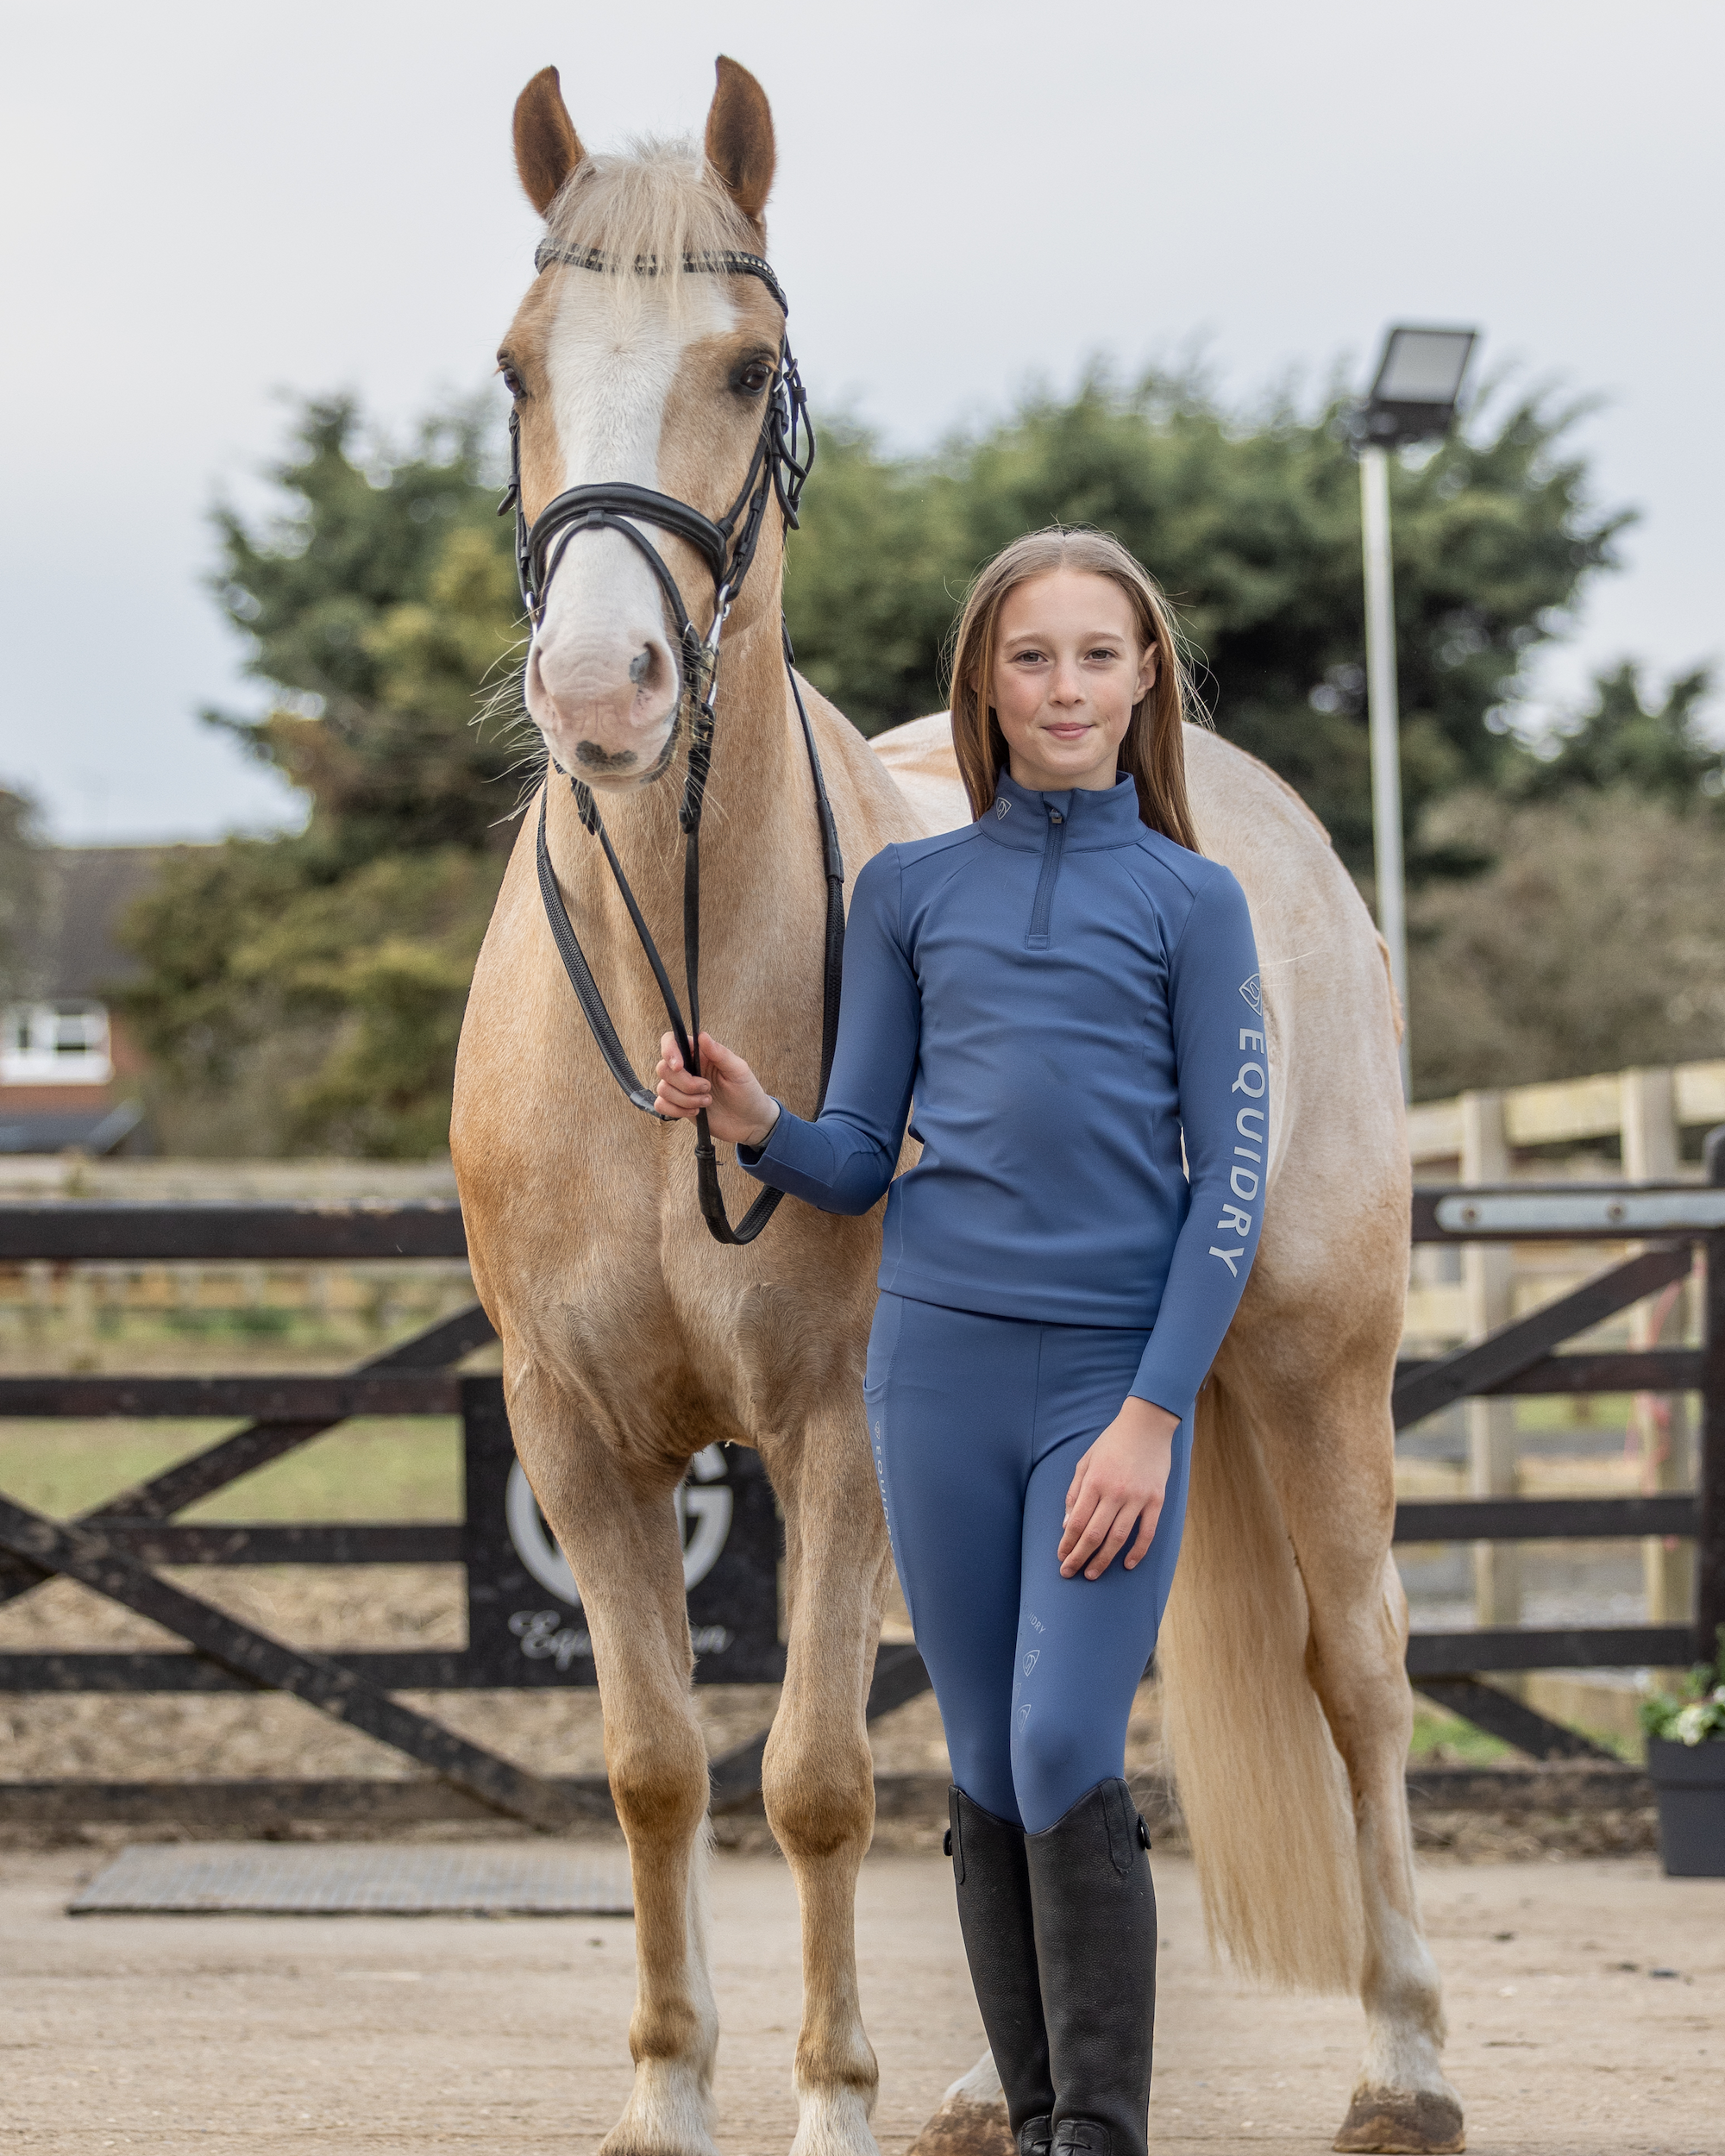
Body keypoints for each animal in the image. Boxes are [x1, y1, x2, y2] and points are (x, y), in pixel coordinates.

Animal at [450, 55, 1465, 2156]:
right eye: (515, 364)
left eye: (749, 365)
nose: (601, 691)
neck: (679, 989)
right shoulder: (575, 1434)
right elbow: (656, 1764)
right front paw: (668, 2093)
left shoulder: (841, 1430)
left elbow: (819, 1777)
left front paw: (826, 2103)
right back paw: (990, 2085)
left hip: (1317, 1360)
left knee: (1362, 1670)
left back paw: (1405, 2061)